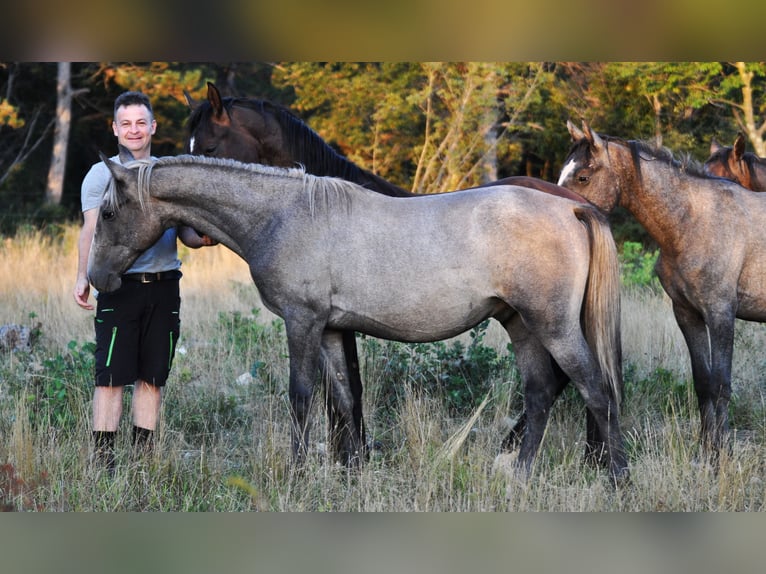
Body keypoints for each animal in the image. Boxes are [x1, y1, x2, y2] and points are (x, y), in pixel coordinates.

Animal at [88, 153, 632, 482]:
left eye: (109, 213)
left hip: (553, 327)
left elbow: (302, 396)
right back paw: (519, 473)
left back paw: (618, 478)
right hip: (521, 325)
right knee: (540, 392)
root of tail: (573, 210)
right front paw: (352, 473)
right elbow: (346, 399)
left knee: (596, 390)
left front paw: (298, 472)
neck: (285, 215)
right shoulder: (330, 330)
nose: (96, 279)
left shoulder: (302, 323)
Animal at [560, 121, 766, 460]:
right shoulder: (687, 314)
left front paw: (720, 456)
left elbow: (721, 384)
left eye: (583, 177)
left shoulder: (721, 314)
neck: (693, 222)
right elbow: (703, 382)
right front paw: (705, 450)